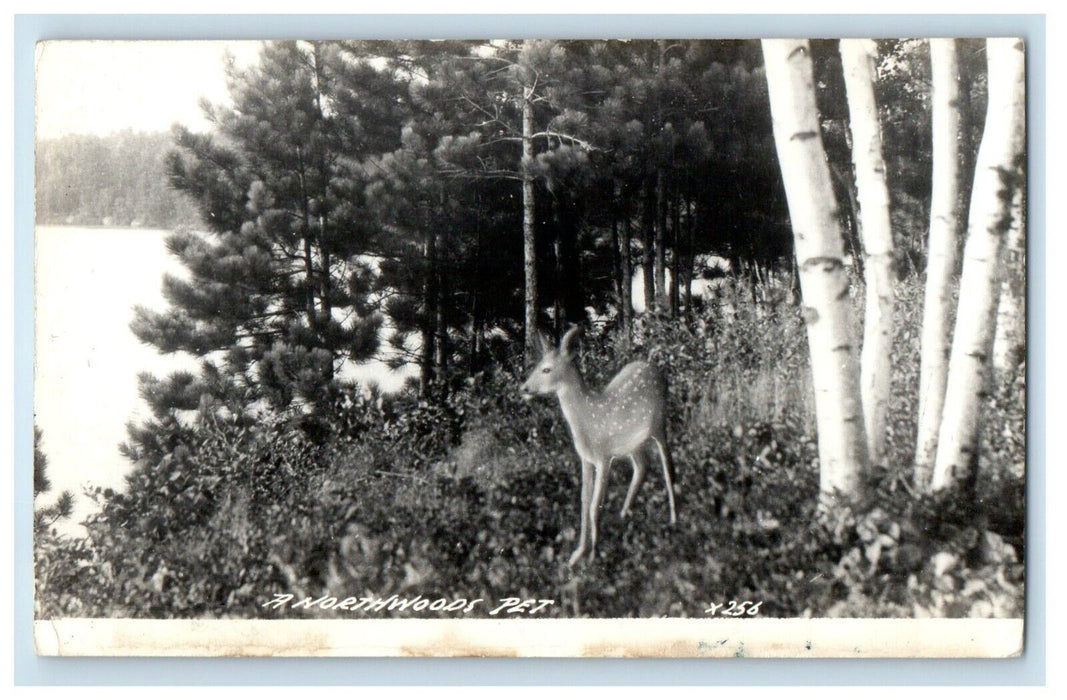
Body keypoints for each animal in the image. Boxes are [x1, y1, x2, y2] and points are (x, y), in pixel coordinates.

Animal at [520, 324, 678, 567]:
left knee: (668, 468)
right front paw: (577, 555)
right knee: (642, 467)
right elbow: (584, 502)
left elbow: (596, 505)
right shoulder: (586, 459)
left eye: (546, 369)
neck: (588, 417)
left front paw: (594, 557)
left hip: (659, 424)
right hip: (634, 444)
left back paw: (673, 520)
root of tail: (652, 365)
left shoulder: (604, 457)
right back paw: (624, 516)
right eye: (537, 366)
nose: (524, 388)